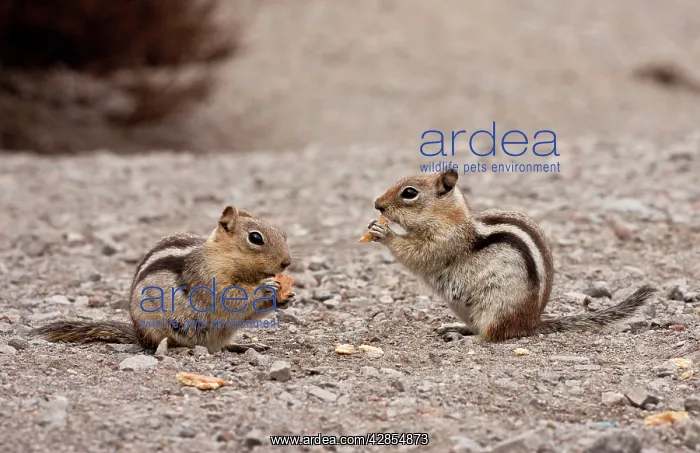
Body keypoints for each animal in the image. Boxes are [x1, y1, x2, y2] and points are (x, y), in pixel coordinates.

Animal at [32, 205, 296, 354]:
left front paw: (286, 298)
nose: (287, 262)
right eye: (255, 238)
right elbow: (230, 296)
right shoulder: (206, 278)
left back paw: (247, 345)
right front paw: (265, 288)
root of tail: (138, 335)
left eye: (283, 234)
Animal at [365, 169, 657, 342]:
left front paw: (384, 233)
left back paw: (466, 338)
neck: (449, 218)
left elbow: (418, 255)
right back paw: (456, 328)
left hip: (496, 309)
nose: (377, 204)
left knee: (492, 336)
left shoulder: (446, 242)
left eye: (409, 193)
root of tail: (531, 323)